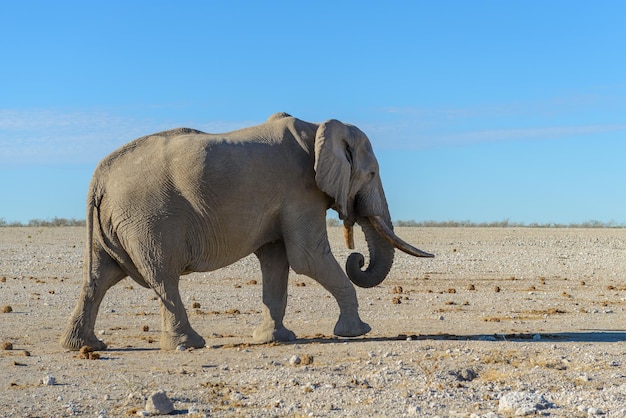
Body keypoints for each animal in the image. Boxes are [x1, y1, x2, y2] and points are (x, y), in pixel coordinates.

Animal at [61, 110, 432, 350]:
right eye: (371, 174)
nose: (357, 258)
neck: (318, 128)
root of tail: (98, 178)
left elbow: (277, 262)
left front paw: (275, 339)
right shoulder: (299, 190)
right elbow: (307, 258)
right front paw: (356, 333)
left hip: (118, 222)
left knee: (101, 277)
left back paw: (84, 345)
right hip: (148, 218)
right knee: (162, 276)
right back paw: (188, 345)